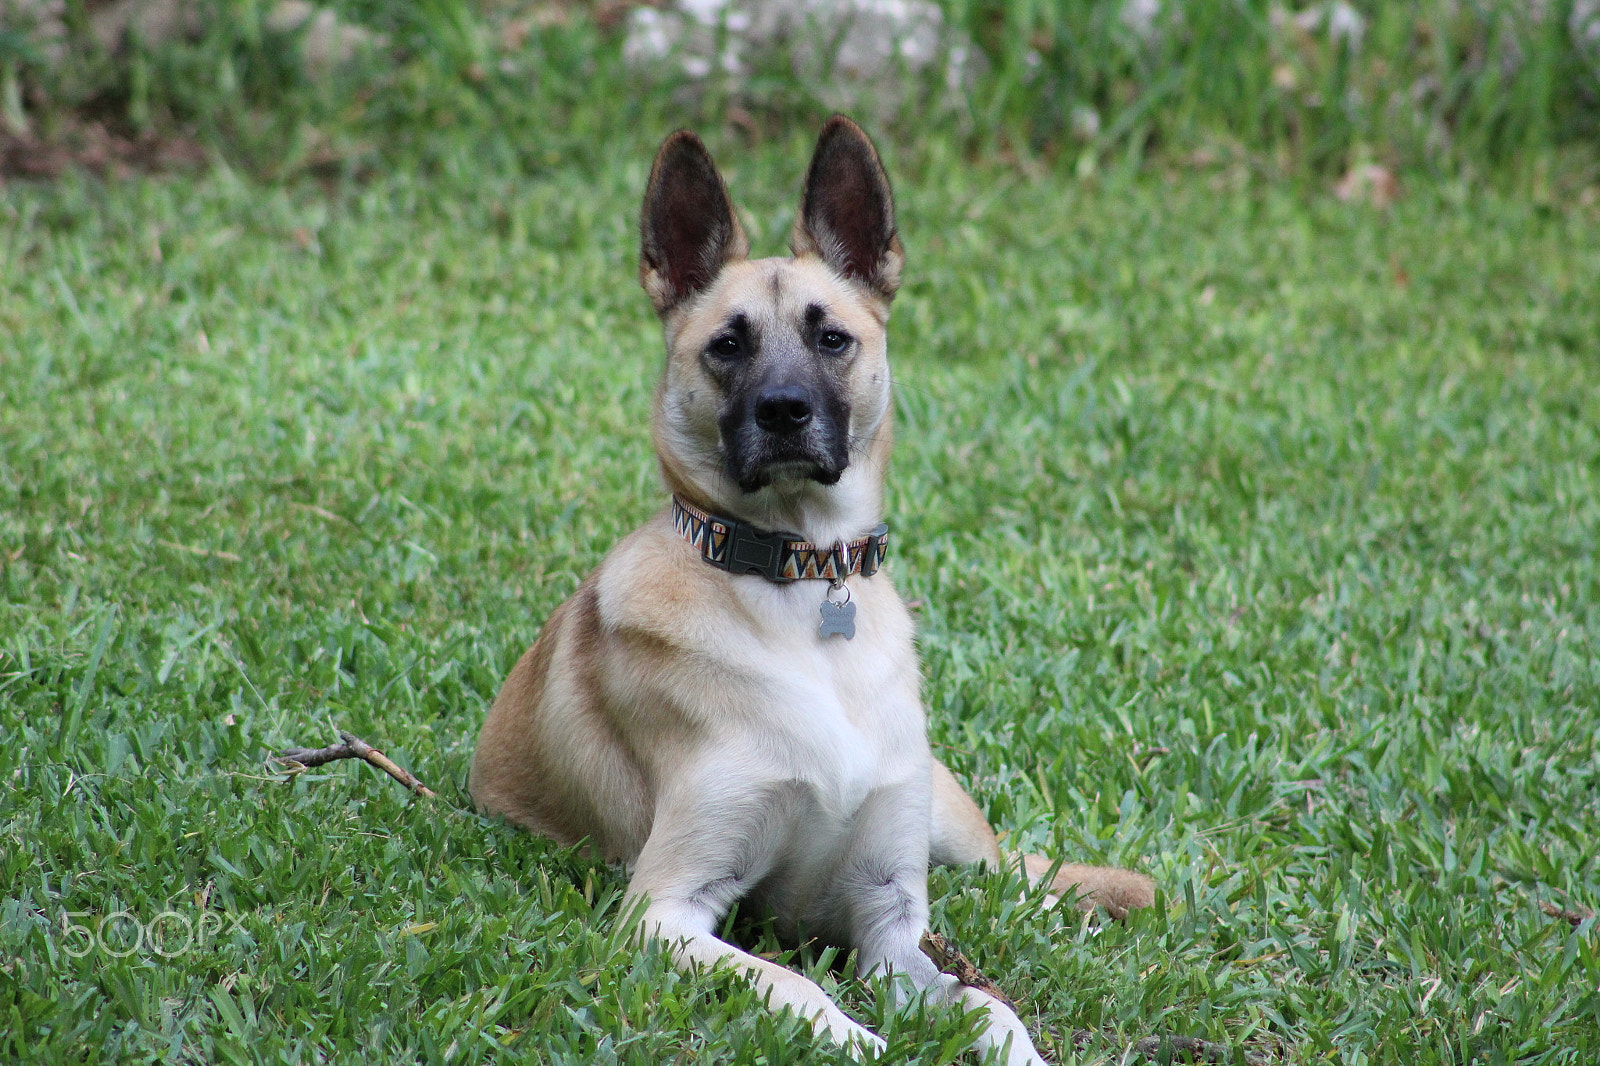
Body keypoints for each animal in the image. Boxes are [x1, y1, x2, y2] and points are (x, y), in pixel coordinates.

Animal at [467, 118, 1158, 1062]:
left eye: (832, 338)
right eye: (727, 345)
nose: (785, 411)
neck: (800, 588)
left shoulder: (893, 920)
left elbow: (988, 1005)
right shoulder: (665, 911)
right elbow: (792, 982)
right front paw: (858, 1039)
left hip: (950, 819)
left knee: (1019, 874)